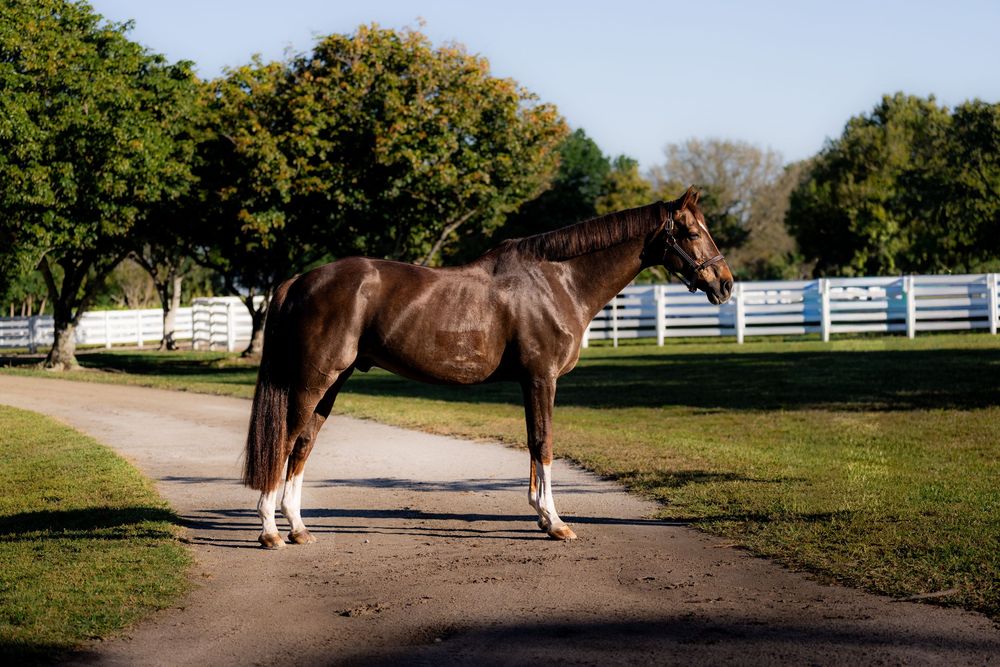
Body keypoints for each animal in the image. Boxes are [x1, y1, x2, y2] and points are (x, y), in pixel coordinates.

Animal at [243, 186, 734, 548]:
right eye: (692, 233)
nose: (725, 284)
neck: (558, 281)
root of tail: (298, 281)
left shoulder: (530, 382)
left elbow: (535, 446)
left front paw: (541, 517)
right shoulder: (541, 379)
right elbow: (544, 443)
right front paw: (556, 522)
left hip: (331, 383)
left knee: (302, 445)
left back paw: (298, 528)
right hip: (312, 381)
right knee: (283, 441)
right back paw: (269, 531)